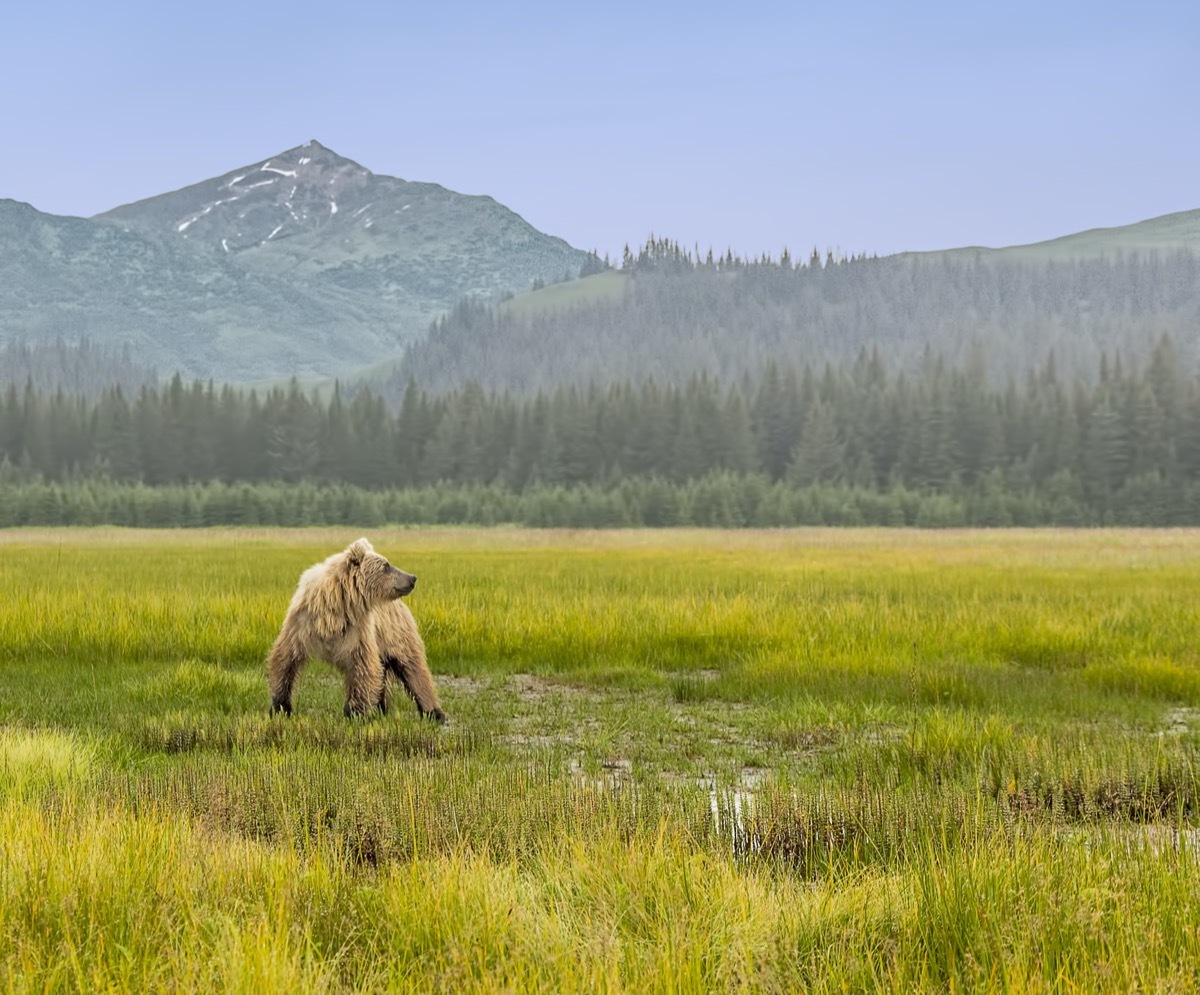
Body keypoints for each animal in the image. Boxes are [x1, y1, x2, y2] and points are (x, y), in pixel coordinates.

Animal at [267, 540, 446, 720]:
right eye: (386, 566)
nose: (412, 578)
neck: (337, 607)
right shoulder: (302, 624)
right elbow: (285, 659)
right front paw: (280, 707)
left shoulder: (357, 631)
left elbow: (363, 666)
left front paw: (354, 712)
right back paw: (382, 708)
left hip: (396, 632)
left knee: (413, 668)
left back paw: (434, 712)